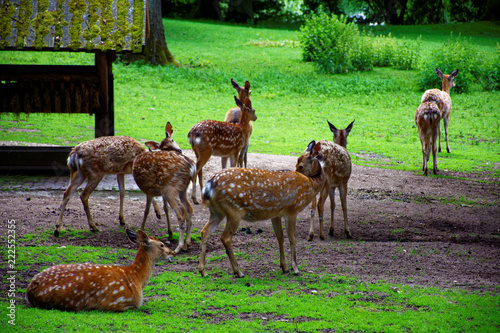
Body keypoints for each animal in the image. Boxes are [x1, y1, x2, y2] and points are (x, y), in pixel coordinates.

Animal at [53, 122, 182, 236]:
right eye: (165, 147)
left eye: (172, 140)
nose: (180, 151)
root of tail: (74, 155)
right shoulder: (134, 171)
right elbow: (144, 190)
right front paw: (158, 213)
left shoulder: (120, 172)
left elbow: (122, 192)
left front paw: (122, 219)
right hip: (95, 173)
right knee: (83, 195)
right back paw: (93, 226)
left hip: (78, 173)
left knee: (67, 193)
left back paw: (57, 228)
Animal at [198, 140, 324, 278]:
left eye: (300, 165)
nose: (298, 170)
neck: (310, 185)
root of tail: (208, 186)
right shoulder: (292, 209)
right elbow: (292, 238)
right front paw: (295, 268)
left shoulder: (276, 213)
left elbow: (280, 237)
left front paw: (284, 267)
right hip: (234, 210)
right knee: (225, 237)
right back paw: (238, 271)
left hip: (216, 211)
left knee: (204, 232)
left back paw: (203, 271)